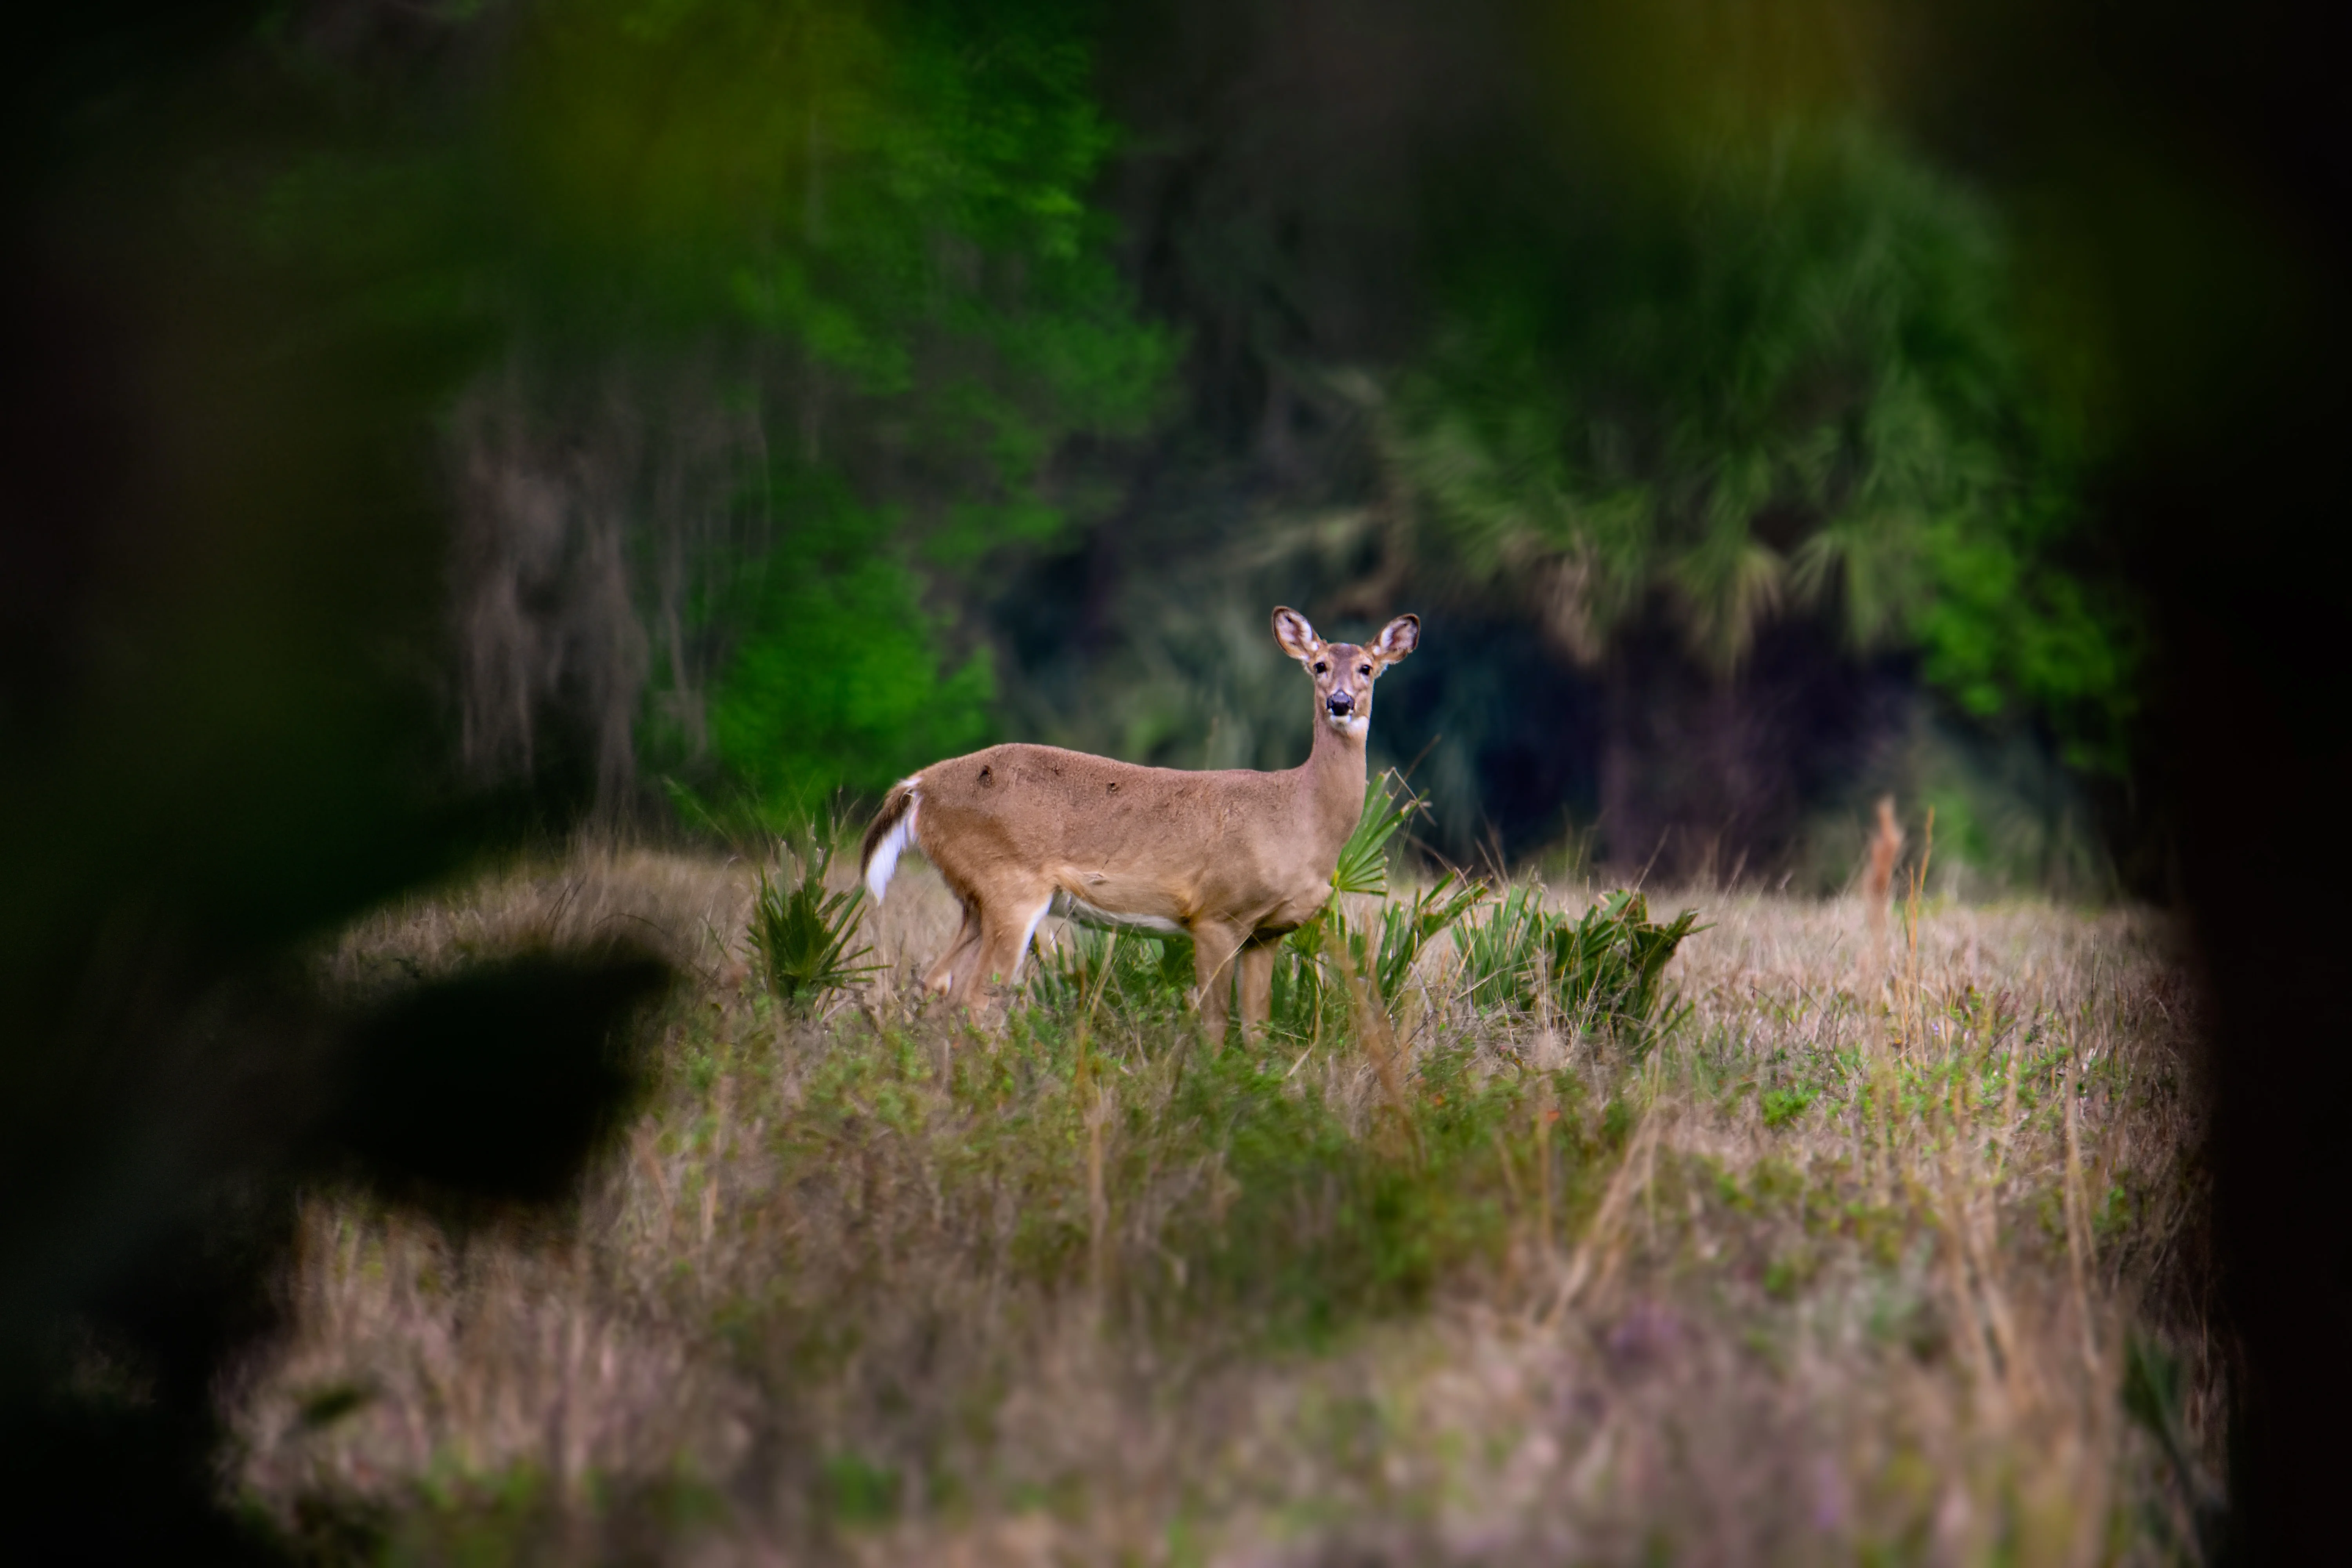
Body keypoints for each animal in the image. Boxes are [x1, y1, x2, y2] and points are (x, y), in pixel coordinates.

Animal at [859, 606, 1420, 1040]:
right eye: (1319, 665)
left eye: (1368, 668)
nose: (1340, 702)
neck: (1299, 818)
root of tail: (918, 787)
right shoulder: (1216, 914)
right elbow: (1214, 1024)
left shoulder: (1268, 933)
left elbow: (1257, 1029)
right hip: (1008, 886)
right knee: (977, 998)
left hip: (974, 898)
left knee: (938, 984)